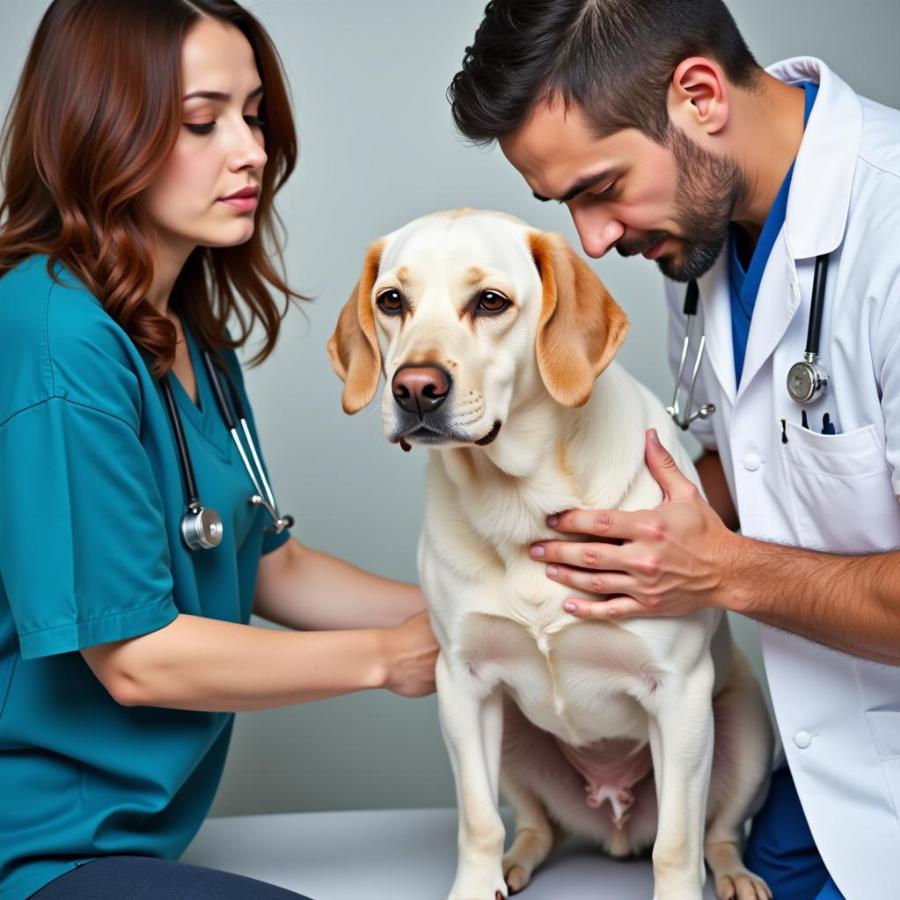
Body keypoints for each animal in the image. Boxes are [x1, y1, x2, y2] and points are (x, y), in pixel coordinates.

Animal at [328, 211, 772, 900]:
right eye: (391, 301)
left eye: (490, 301)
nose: (415, 389)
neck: (522, 502)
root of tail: (616, 821)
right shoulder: (463, 684)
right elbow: (477, 821)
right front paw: (476, 884)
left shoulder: (678, 691)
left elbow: (677, 844)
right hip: (514, 739)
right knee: (537, 826)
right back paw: (514, 866)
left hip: (744, 731)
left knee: (716, 833)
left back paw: (736, 876)